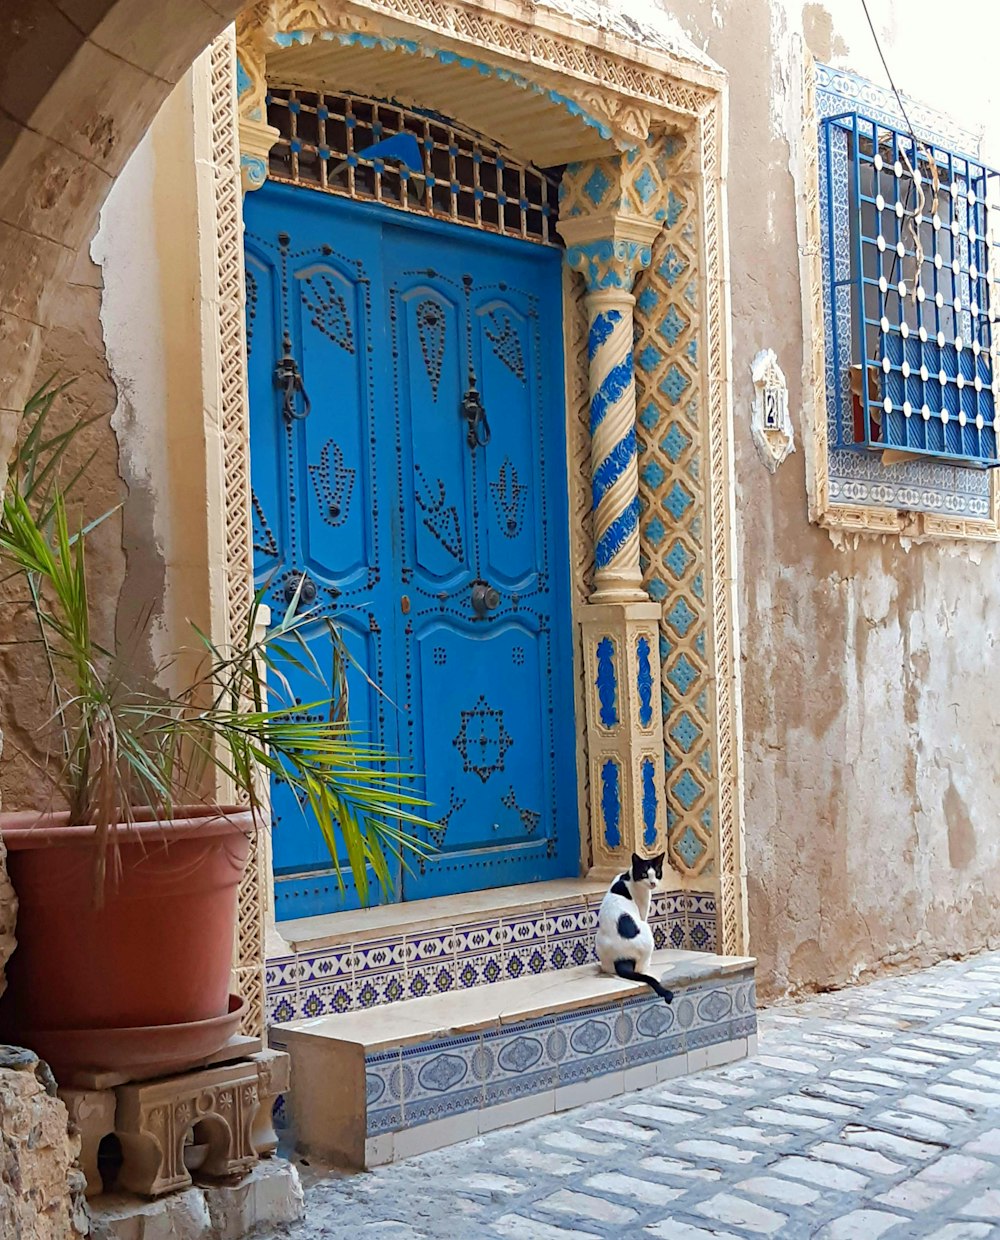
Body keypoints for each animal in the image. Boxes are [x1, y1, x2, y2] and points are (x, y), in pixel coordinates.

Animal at [595, 853, 674, 1006]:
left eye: (657, 873)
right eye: (644, 874)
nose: (653, 883)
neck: (628, 876)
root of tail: (621, 957)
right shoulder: (643, 912)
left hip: (599, 938)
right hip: (646, 930)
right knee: (640, 968)